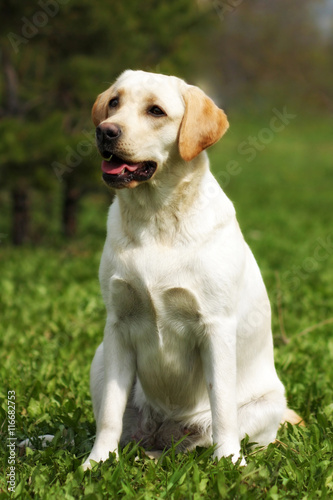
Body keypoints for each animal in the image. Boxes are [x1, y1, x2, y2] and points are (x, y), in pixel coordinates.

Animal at [81, 69, 300, 468]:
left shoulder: (215, 327)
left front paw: (229, 463)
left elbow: (222, 408)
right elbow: (109, 415)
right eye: (114, 103)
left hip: (268, 403)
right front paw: (98, 462)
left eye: (155, 110)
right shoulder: (118, 325)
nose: (106, 131)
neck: (155, 218)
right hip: (100, 357)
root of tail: (163, 433)